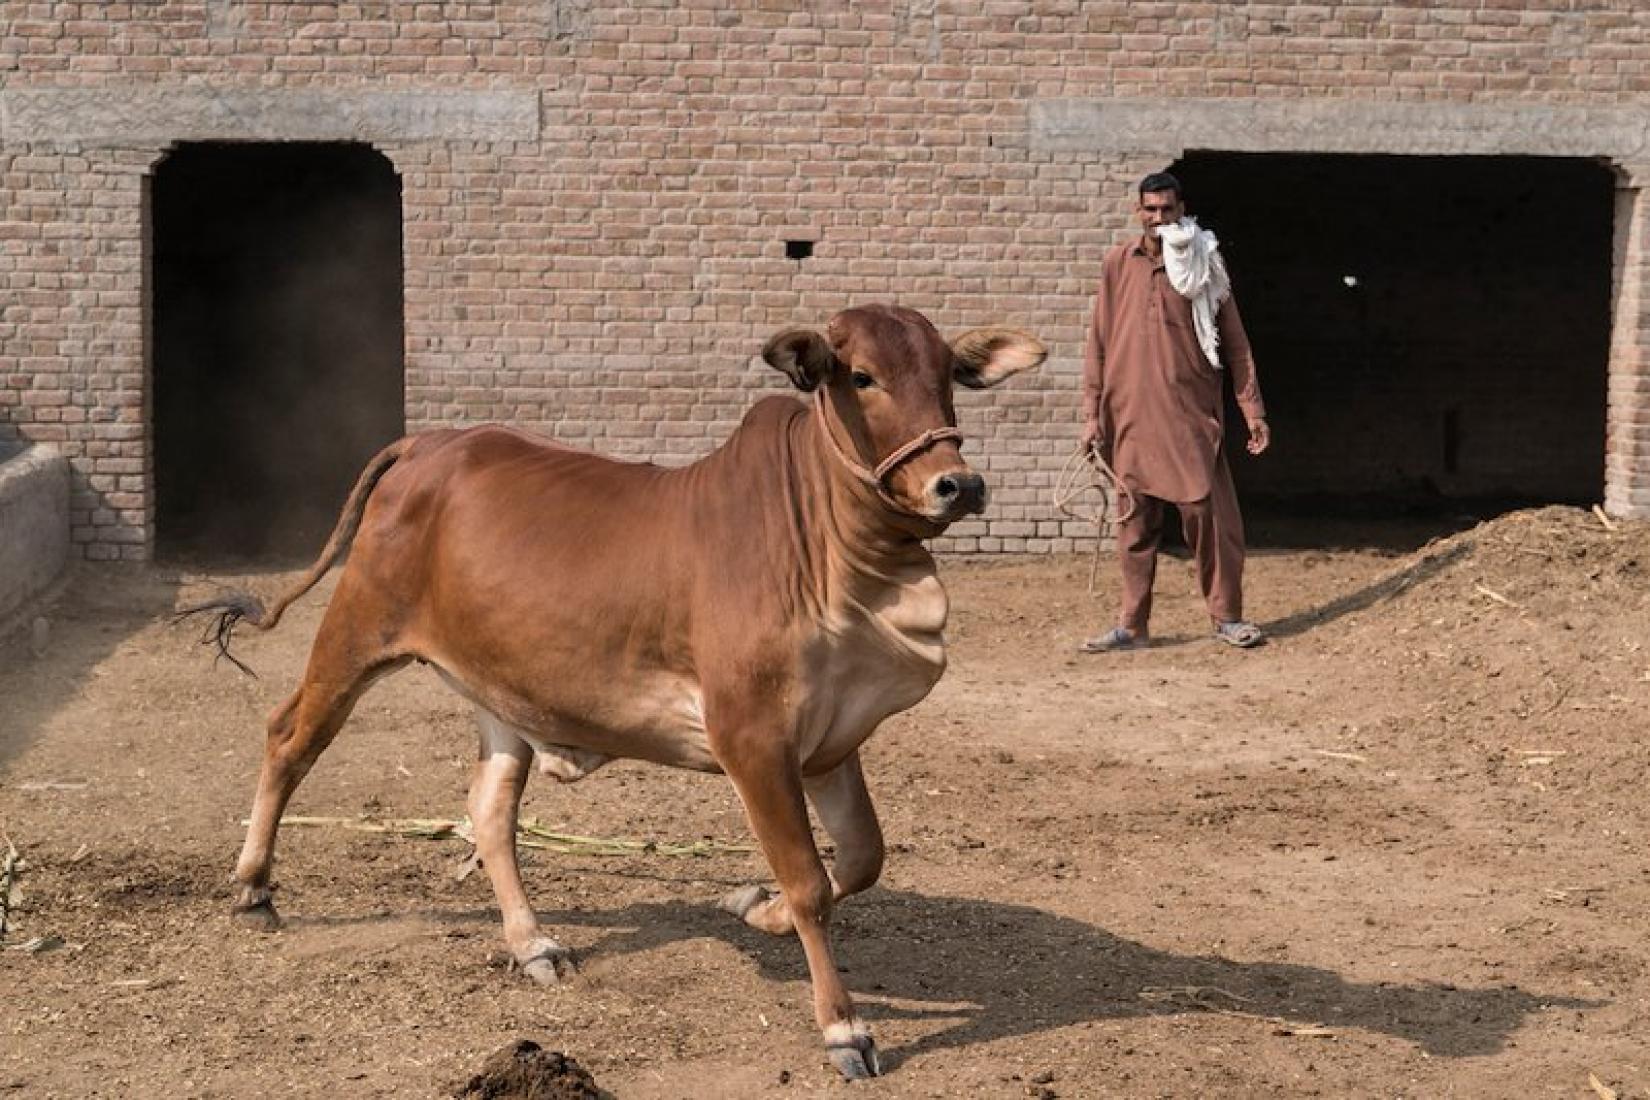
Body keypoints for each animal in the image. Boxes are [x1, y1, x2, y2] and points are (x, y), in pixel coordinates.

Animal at [183, 305, 1042, 1081]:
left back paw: (533, 943)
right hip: (357, 631)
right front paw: (844, 1029)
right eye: (861, 376)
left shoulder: (832, 741)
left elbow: (859, 861)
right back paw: (254, 884)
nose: (958, 484)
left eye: (947, 375)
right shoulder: (753, 738)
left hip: (500, 695)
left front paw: (750, 904)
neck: (845, 558)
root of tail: (429, 442)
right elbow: (809, 882)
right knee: (290, 736)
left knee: (490, 810)